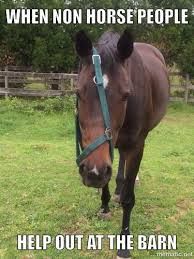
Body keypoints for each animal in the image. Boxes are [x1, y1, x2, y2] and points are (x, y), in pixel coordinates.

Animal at [75, 30, 169, 258]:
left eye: (126, 94)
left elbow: (128, 198)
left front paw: (124, 245)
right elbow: (107, 177)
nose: (92, 173)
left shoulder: (136, 146)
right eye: (78, 93)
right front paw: (105, 206)